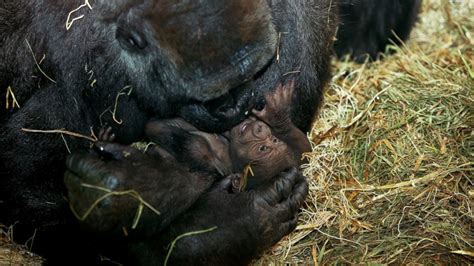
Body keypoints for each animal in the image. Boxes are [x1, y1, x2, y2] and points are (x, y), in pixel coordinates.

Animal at [143, 81, 312, 191]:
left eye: (263, 149)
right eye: (272, 141)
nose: (260, 129)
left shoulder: (216, 161)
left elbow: (158, 129)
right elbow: (304, 151)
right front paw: (278, 115)